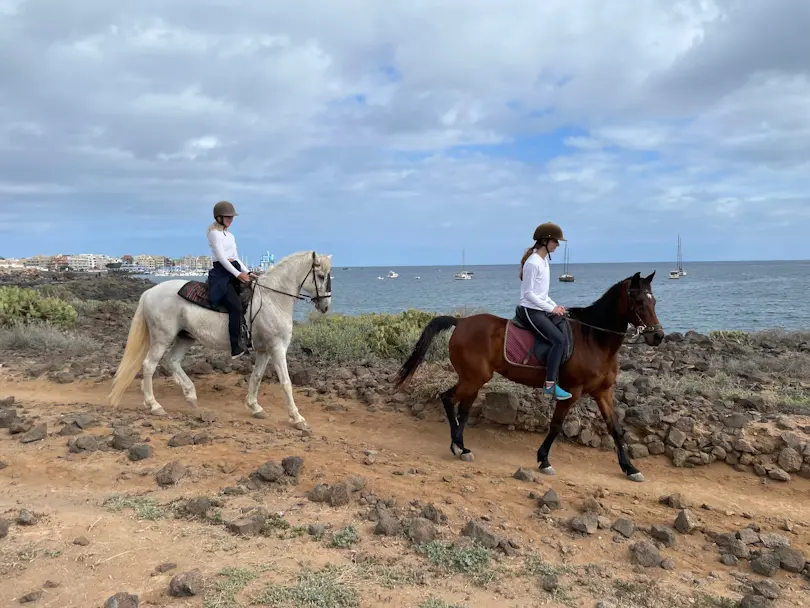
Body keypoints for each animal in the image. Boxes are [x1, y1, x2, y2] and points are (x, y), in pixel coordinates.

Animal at [108, 247, 332, 428]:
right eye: (321, 276)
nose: (325, 306)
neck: (272, 299)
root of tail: (149, 292)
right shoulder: (277, 348)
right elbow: (286, 382)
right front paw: (297, 418)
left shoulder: (264, 350)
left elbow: (256, 377)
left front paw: (255, 407)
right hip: (162, 337)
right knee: (149, 365)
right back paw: (154, 405)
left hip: (185, 337)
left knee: (172, 361)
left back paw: (190, 395)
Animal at [392, 274, 664, 482]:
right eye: (639, 300)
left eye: (654, 301)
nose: (658, 336)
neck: (594, 340)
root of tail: (461, 321)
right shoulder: (572, 391)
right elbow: (556, 426)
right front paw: (544, 460)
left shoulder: (603, 392)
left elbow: (615, 428)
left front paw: (630, 468)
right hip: (474, 379)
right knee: (452, 402)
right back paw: (459, 446)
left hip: (473, 379)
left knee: (458, 405)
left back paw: (459, 445)